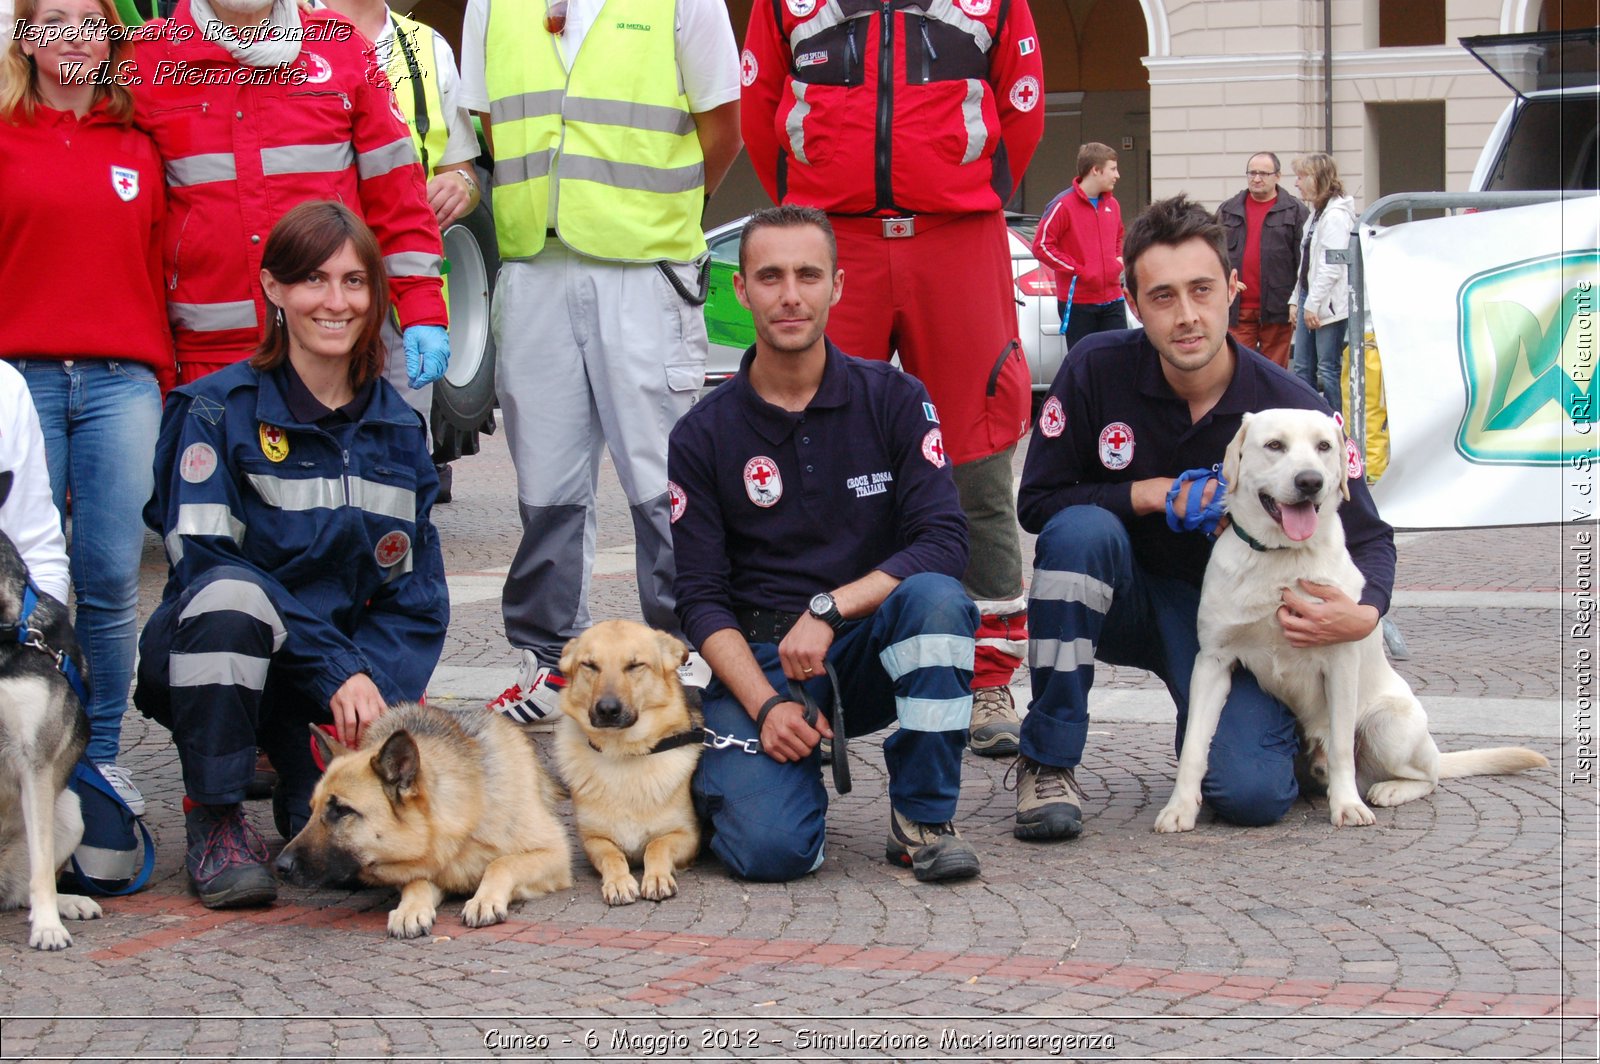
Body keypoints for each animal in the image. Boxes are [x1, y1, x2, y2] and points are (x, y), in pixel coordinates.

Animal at [276, 704, 576, 940]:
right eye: (311, 809)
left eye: (341, 810)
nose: (280, 866)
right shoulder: (417, 865)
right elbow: (416, 880)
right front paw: (410, 909)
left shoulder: (555, 853)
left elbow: (501, 863)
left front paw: (484, 899)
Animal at [553, 624, 697, 902]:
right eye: (590, 665)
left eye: (635, 665)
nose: (607, 709)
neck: (623, 754)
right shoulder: (593, 841)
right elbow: (613, 856)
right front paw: (619, 882)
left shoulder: (687, 835)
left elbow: (656, 845)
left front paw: (657, 877)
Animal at [1158, 406, 1542, 832]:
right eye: (1275, 445)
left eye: (1324, 446)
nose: (1310, 481)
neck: (1281, 557)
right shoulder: (1212, 662)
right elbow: (1194, 746)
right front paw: (1179, 808)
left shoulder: (1340, 663)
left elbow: (1342, 747)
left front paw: (1346, 806)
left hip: (1387, 724)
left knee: (1428, 777)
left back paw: (1388, 790)